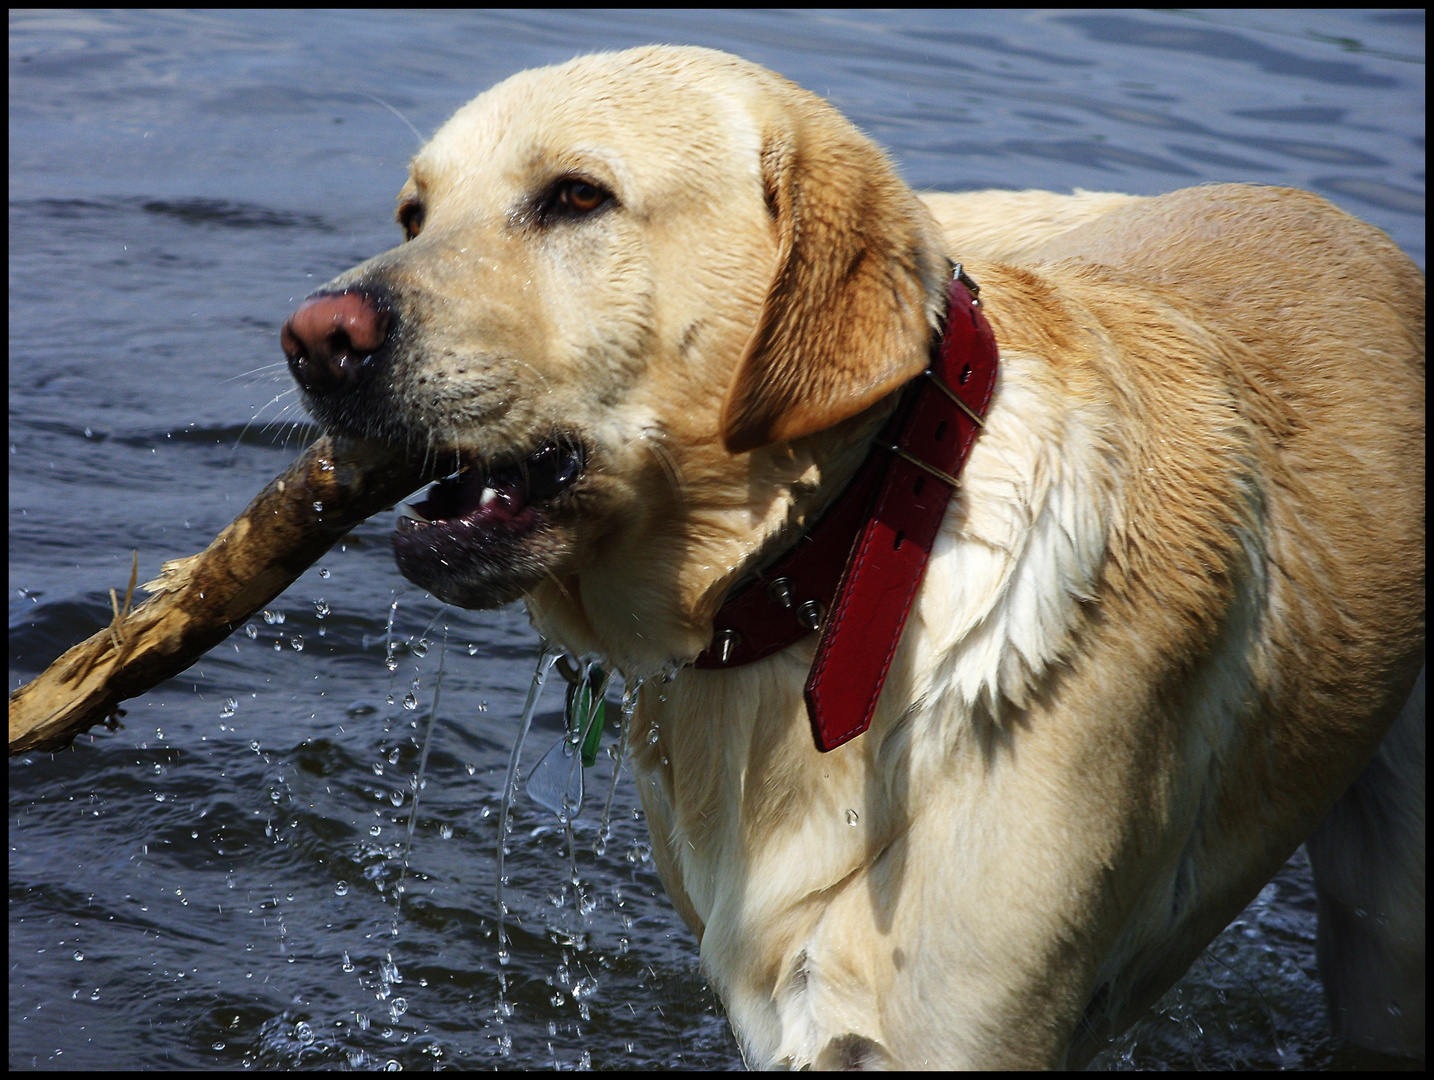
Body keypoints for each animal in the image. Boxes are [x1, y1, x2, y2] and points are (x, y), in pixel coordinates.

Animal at [279, 46, 1422, 1067]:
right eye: (413, 215)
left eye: (575, 198)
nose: (314, 336)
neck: (837, 568)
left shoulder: (960, 1030)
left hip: (1386, 936)